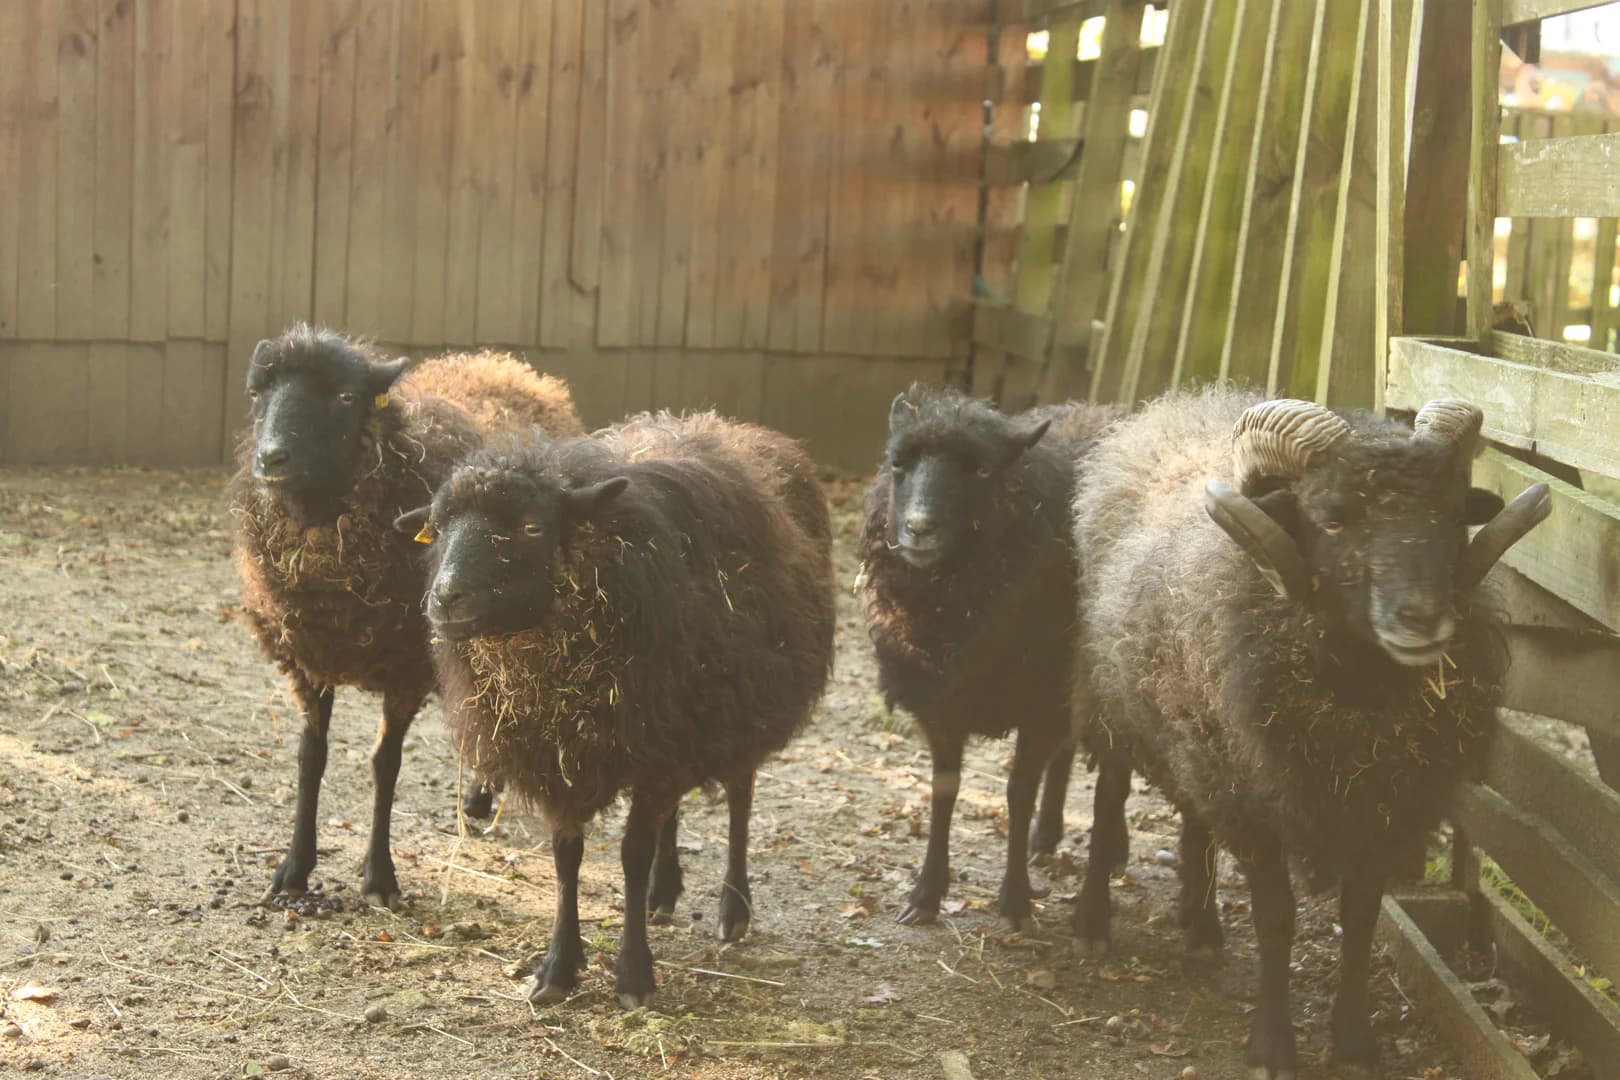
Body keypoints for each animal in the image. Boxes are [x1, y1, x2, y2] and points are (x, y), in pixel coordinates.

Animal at [230, 325, 583, 908]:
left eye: (345, 396)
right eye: (257, 393)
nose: (272, 458)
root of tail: (509, 367)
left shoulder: (406, 667)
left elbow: (384, 764)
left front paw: (379, 876)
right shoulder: (309, 657)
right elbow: (310, 758)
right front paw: (295, 868)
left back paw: (481, 796)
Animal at [396, 411, 835, 1007]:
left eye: (532, 528)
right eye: (438, 529)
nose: (445, 599)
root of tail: (738, 428)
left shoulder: (657, 751)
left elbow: (630, 856)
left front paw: (633, 974)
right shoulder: (563, 756)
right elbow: (567, 857)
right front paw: (558, 967)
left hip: (737, 711)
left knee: (740, 799)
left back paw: (733, 907)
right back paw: (664, 890)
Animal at [858, 385, 1122, 928]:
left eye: (981, 470)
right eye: (898, 464)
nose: (918, 527)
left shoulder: (1039, 704)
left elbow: (1017, 794)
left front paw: (1016, 898)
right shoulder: (942, 702)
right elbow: (944, 789)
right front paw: (926, 894)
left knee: (1113, 785)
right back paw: (1049, 835)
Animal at [1069, 388, 1549, 1077]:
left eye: (1453, 512)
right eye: (1333, 519)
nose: (1421, 618)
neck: (1363, 690)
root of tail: (1170, 407)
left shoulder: (1386, 807)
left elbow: (1362, 917)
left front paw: (1353, 1042)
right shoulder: (1256, 803)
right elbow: (1277, 918)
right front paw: (1273, 1046)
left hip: (1200, 736)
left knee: (1196, 820)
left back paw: (1202, 925)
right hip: (1114, 703)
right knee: (1110, 794)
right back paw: (1092, 921)